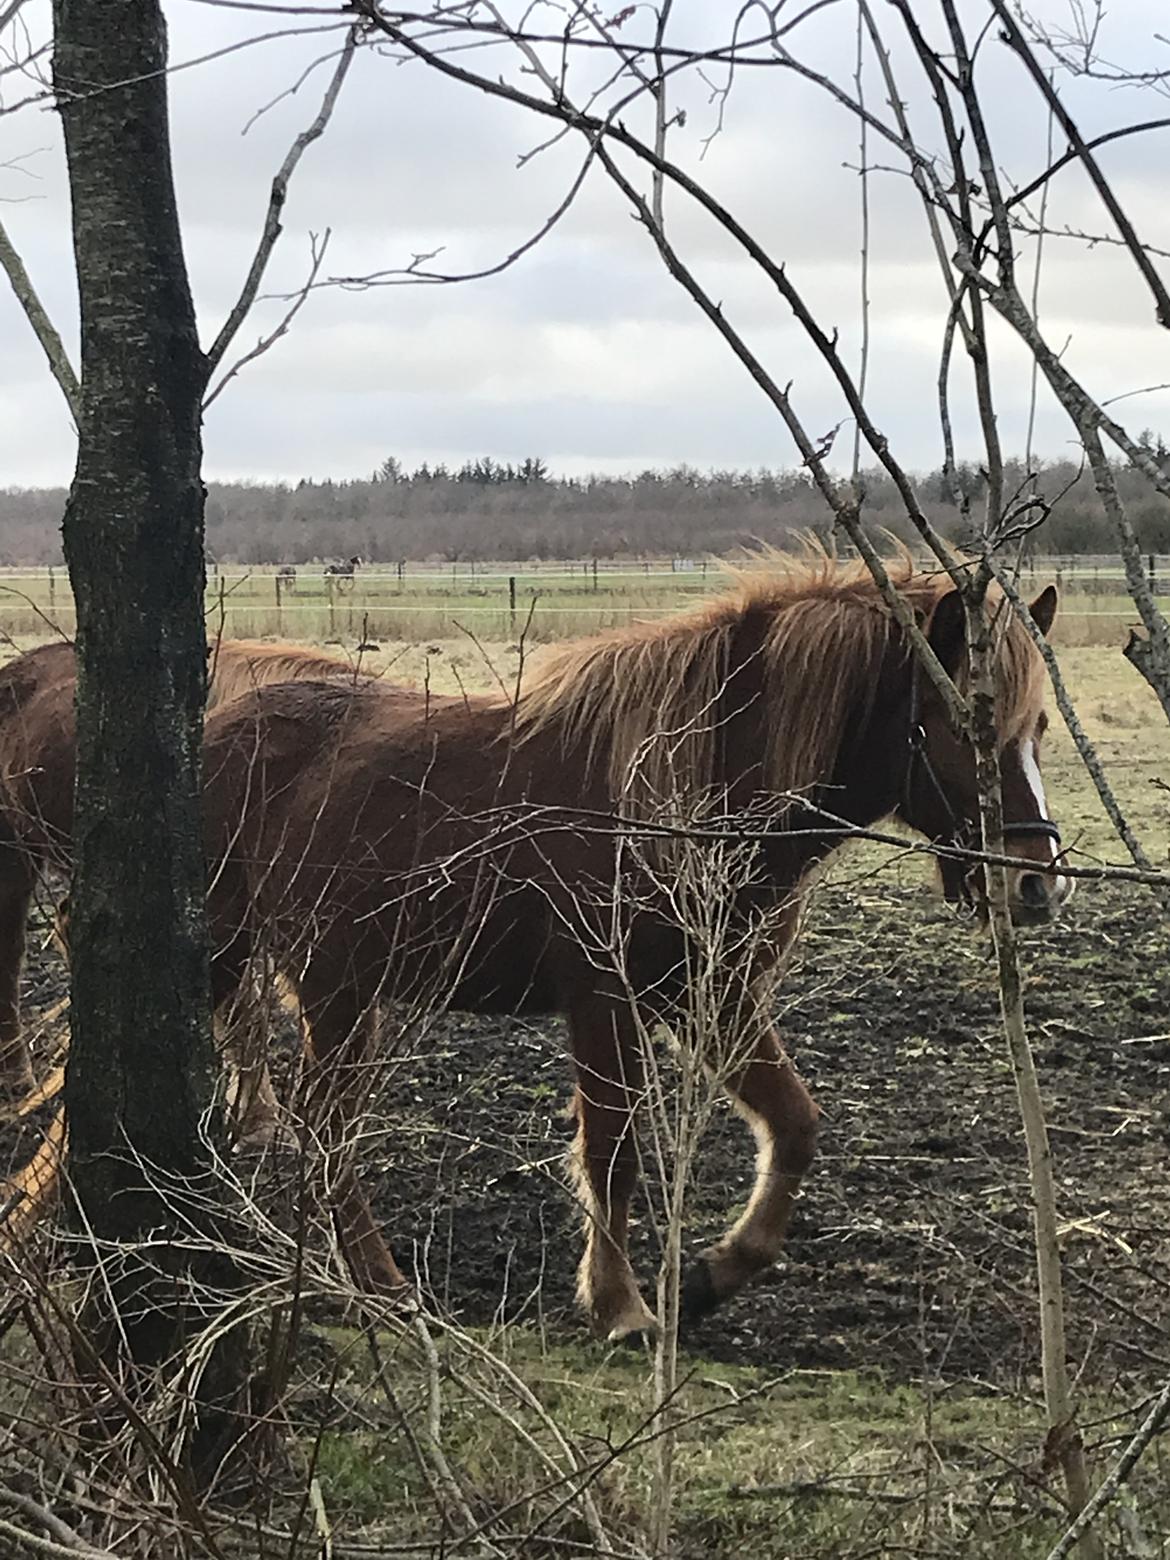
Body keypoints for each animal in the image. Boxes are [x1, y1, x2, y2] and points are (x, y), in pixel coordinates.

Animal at [201, 561, 1073, 1341]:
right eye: (969, 724)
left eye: (1040, 728)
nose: (1037, 881)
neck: (683, 791)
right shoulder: (604, 1001)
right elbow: (612, 1152)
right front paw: (620, 1305)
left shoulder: (710, 997)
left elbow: (794, 1123)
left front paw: (714, 1274)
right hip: (298, 977)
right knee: (319, 1122)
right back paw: (378, 1284)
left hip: (332, 986)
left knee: (320, 1123)